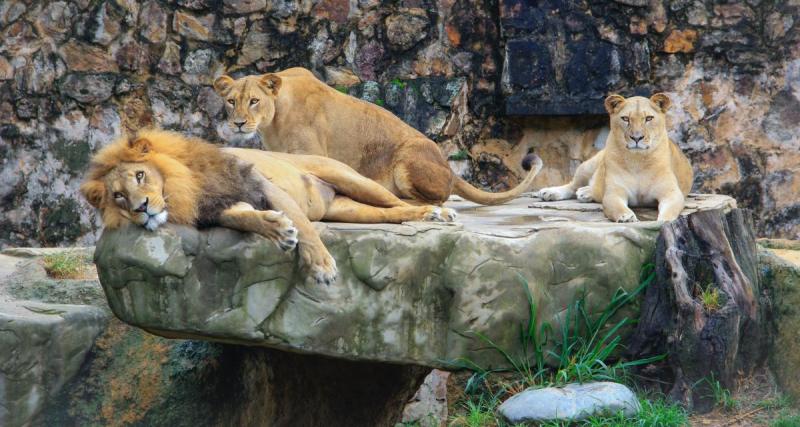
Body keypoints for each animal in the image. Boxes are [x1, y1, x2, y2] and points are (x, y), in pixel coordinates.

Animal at [82, 129, 460, 286]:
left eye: (141, 175)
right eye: (118, 196)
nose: (142, 207)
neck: (185, 189)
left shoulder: (262, 184)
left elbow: (304, 227)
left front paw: (321, 266)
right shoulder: (220, 206)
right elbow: (246, 219)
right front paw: (277, 229)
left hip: (349, 177)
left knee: (397, 200)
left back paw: (437, 212)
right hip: (349, 209)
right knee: (391, 213)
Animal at [212, 67, 540, 206]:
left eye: (254, 101)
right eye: (231, 101)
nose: (238, 124)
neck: (274, 119)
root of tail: (448, 167)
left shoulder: (310, 153)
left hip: (407, 160)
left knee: (438, 199)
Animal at [536, 94, 692, 224]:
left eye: (648, 118)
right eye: (625, 119)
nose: (636, 137)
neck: (637, 161)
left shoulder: (671, 192)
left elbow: (671, 210)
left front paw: (664, 221)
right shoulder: (615, 192)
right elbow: (617, 206)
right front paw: (626, 217)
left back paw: (585, 192)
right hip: (588, 166)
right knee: (572, 185)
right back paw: (550, 193)